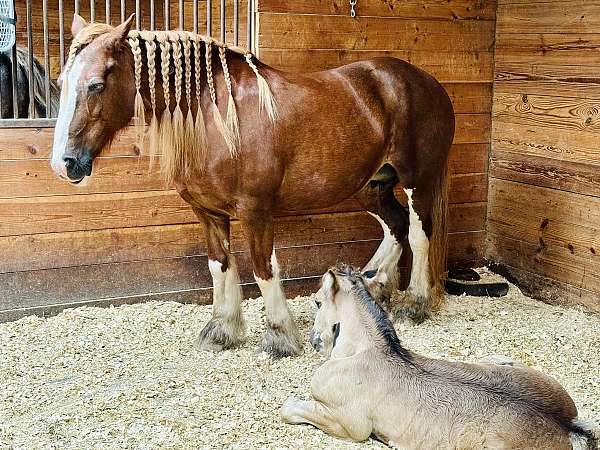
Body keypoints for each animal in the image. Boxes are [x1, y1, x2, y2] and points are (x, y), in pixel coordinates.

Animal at [51, 15, 454, 356]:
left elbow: (263, 269)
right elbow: (220, 266)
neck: (216, 117)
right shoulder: (208, 212)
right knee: (395, 226)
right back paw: (372, 285)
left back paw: (416, 303)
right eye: (61, 83)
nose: (64, 163)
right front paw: (221, 331)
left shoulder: (256, 210)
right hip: (371, 185)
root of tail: (428, 83)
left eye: (96, 84)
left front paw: (280, 337)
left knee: (419, 233)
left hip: (418, 180)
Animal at [282, 266, 600, 448]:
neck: (366, 352)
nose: (314, 340)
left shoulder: (350, 425)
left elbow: (290, 409)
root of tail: (570, 427)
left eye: (317, 301)